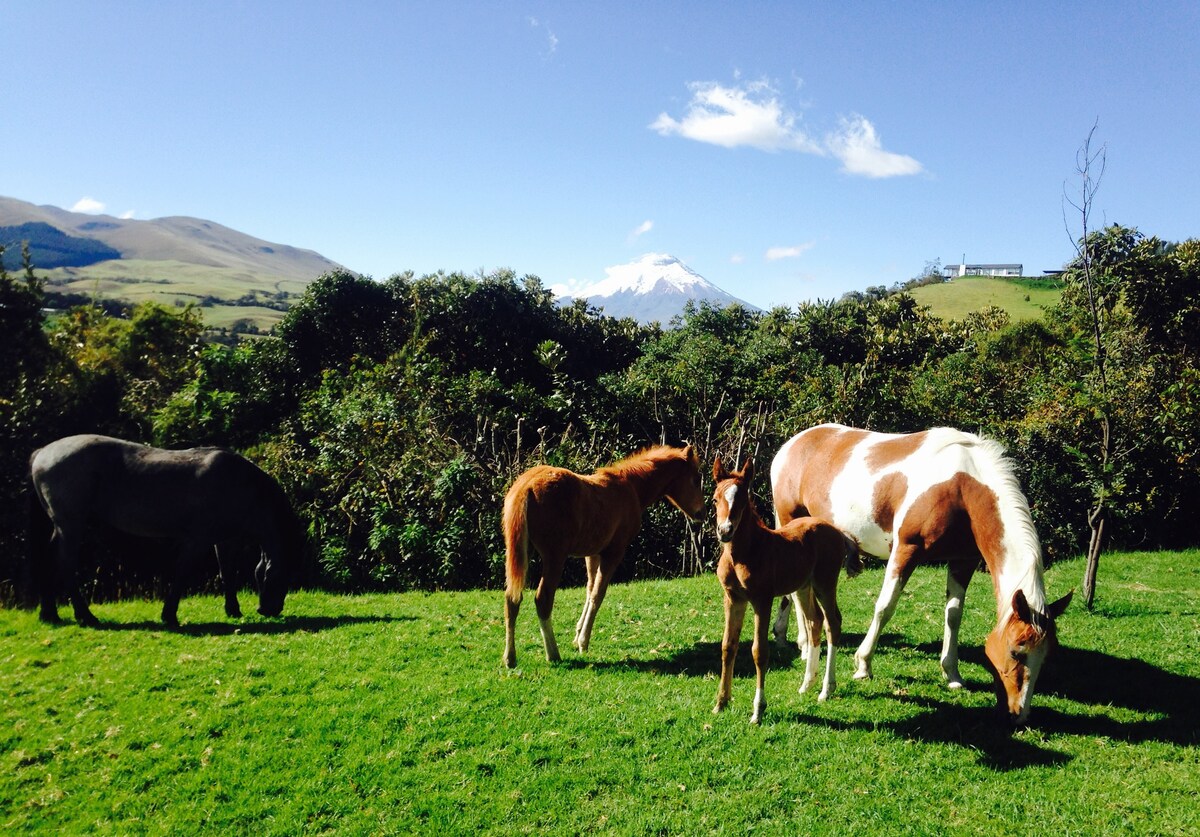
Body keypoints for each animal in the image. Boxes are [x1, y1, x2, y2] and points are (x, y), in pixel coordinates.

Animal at [29, 434, 304, 623]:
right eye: (284, 575)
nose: (269, 609)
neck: (242, 486)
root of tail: (43, 452)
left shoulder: (224, 540)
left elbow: (227, 573)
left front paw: (233, 610)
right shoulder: (197, 540)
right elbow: (183, 573)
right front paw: (169, 614)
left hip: (62, 527)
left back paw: (49, 613)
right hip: (71, 526)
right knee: (65, 564)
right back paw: (85, 615)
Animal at [504, 443, 705, 666]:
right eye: (696, 479)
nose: (703, 514)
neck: (631, 487)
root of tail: (527, 487)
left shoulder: (592, 553)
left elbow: (589, 589)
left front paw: (577, 634)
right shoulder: (613, 552)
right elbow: (598, 594)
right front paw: (583, 641)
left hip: (521, 552)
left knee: (512, 598)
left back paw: (510, 658)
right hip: (554, 557)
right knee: (543, 599)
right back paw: (553, 653)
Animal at [705, 453, 859, 719]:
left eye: (742, 499)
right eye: (715, 499)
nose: (725, 531)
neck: (744, 553)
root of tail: (837, 532)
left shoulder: (762, 600)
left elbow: (759, 651)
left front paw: (758, 710)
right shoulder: (733, 598)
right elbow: (727, 646)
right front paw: (721, 703)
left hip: (825, 583)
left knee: (833, 623)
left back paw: (826, 689)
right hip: (804, 587)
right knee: (815, 620)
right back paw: (807, 683)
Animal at [772, 424, 1075, 724]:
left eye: (1047, 655)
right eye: (1016, 651)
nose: (1020, 713)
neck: (961, 486)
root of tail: (792, 444)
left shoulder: (963, 561)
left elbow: (954, 615)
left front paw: (952, 673)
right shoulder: (906, 550)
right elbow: (885, 607)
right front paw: (863, 664)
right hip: (791, 523)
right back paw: (801, 645)